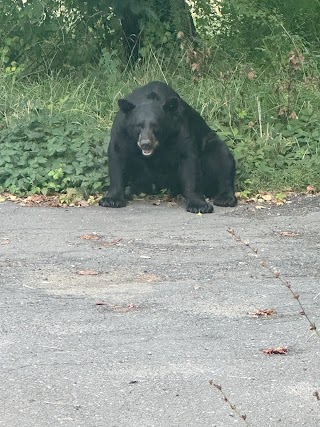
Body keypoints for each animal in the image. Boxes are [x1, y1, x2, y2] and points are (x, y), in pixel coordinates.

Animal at [99, 80, 236, 214]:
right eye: (138, 125)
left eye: (155, 126)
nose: (145, 143)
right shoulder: (122, 130)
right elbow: (117, 155)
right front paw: (111, 199)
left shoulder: (179, 128)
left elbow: (188, 160)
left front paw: (198, 205)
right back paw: (130, 190)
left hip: (210, 144)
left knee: (221, 157)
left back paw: (225, 198)